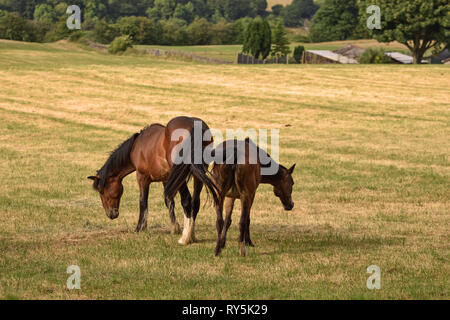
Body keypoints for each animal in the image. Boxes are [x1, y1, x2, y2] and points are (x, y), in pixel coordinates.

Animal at [87, 116, 218, 244]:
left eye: (101, 191)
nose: (111, 214)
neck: (137, 145)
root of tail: (193, 127)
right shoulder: (166, 180)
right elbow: (169, 201)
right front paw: (174, 227)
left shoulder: (142, 177)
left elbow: (143, 202)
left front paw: (140, 227)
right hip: (198, 174)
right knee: (195, 202)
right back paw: (192, 235)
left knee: (187, 200)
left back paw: (185, 238)